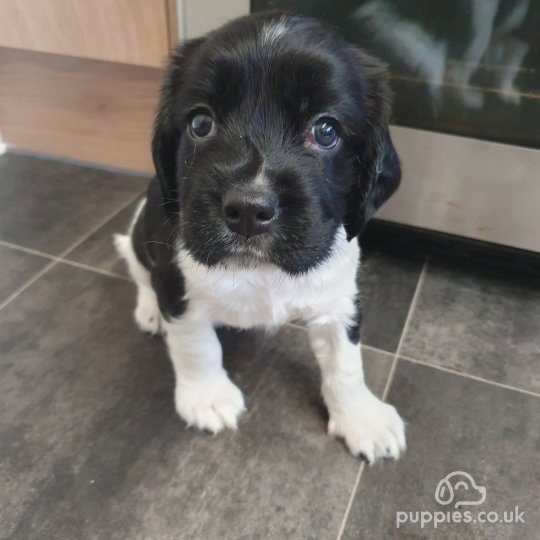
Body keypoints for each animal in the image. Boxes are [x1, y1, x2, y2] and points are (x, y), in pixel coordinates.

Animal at [117, 11, 404, 464]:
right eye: (201, 123)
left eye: (326, 130)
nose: (249, 210)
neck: (261, 270)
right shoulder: (176, 283)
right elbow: (196, 343)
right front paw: (207, 397)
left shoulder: (339, 297)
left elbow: (345, 362)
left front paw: (361, 417)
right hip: (138, 232)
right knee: (137, 267)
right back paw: (149, 311)